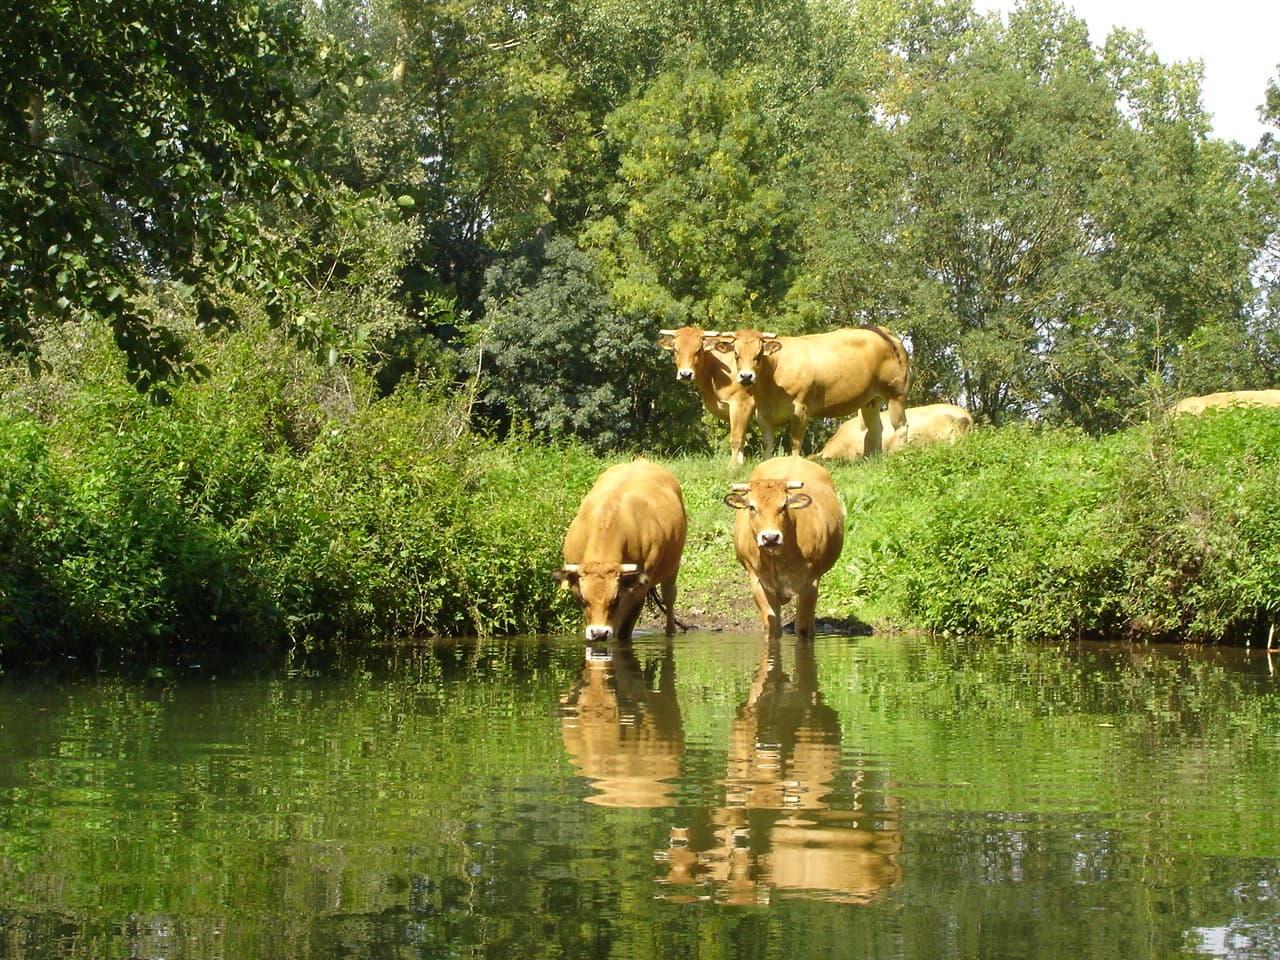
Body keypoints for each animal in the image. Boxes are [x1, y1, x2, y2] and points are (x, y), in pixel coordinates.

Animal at [555, 458, 688, 643]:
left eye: (614, 600)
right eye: (583, 600)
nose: (599, 633)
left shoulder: (636, 592)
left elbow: (623, 631)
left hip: (673, 568)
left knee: (669, 598)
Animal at [658, 326, 757, 465]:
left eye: (699, 349)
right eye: (675, 349)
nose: (685, 374)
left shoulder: (742, 403)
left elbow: (736, 438)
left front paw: (734, 466)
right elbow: (742, 438)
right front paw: (740, 463)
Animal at [711, 326, 911, 457]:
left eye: (759, 354)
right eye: (736, 354)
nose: (746, 376)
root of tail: (883, 332)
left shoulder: (801, 408)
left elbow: (795, 443)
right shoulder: (764, 414)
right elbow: (768, 444)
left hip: (896, 393)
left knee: (901, 427)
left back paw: (900, 456)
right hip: (871, 400)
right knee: (875, 429)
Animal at [723, 455, 845, 641]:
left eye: (784, 506)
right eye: (752, 507)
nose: (770, 537)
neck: (778, 558)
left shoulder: (810, 583)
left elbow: (802, 627)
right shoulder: (758, 581)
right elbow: (771, 626)